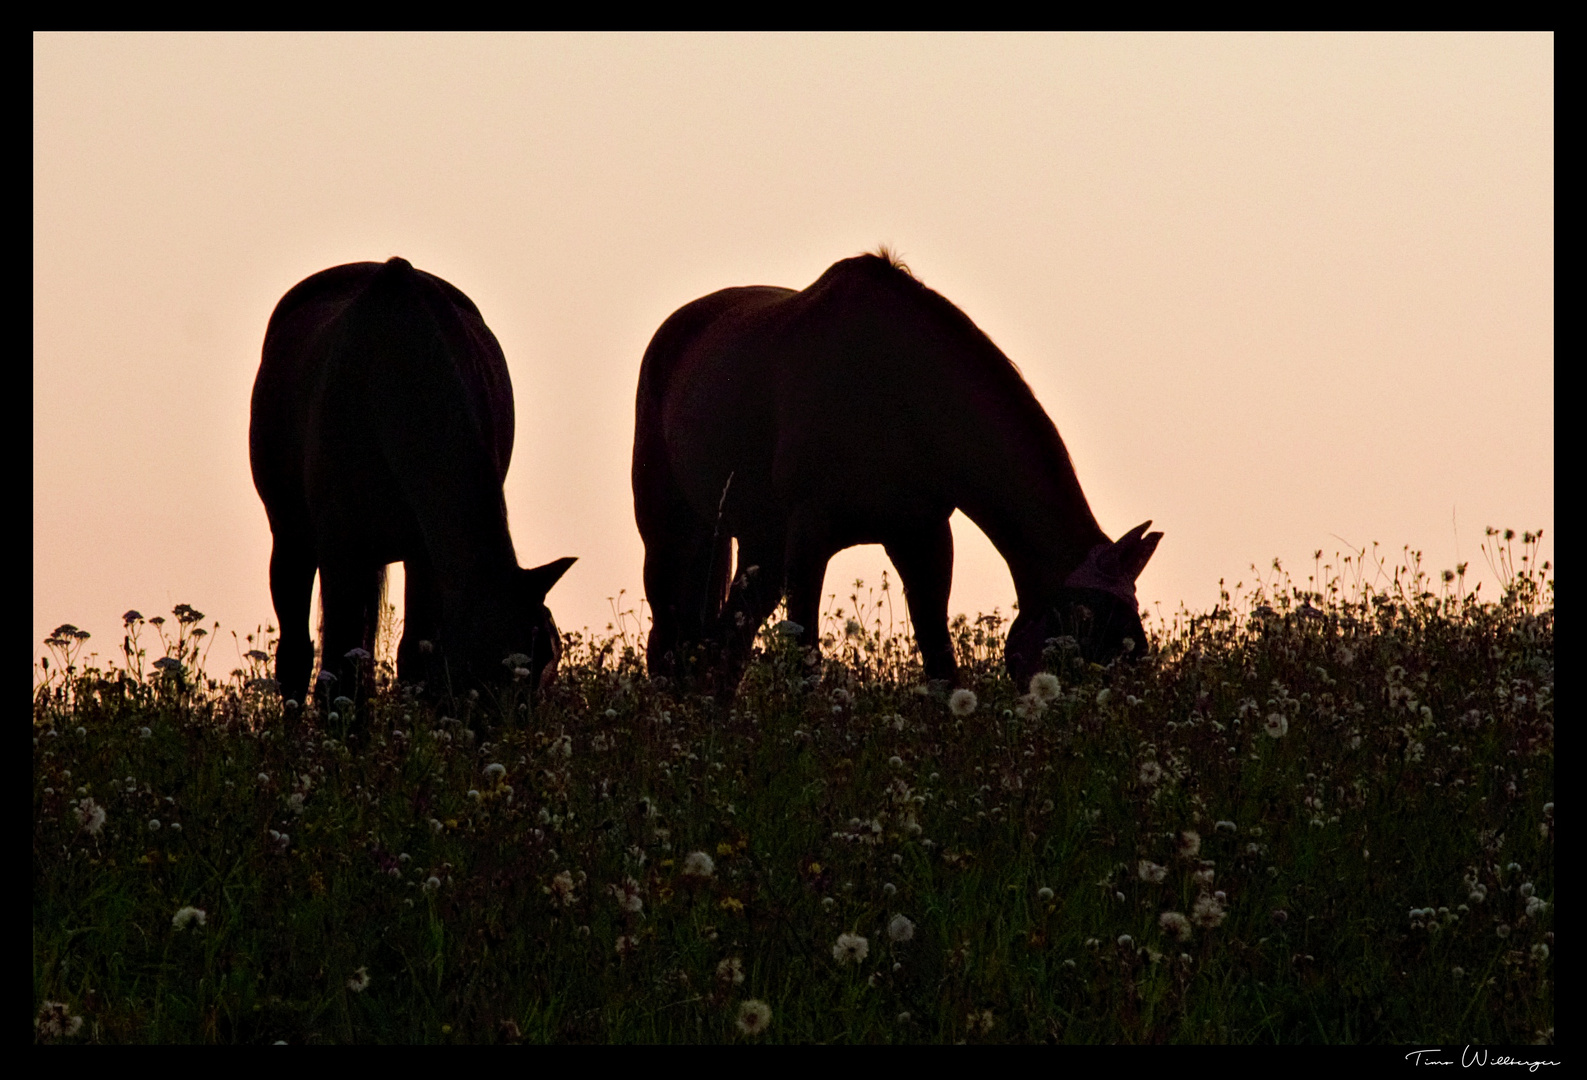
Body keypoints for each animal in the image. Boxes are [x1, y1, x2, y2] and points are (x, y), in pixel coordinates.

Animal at [244, 255, 574, 704]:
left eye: (544, 665)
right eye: (483, 668)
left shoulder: (423, 555)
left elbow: (411, 657)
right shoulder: (340, 548)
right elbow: (336, 661)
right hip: (291, 535)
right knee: (296, 653)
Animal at [631, 247, 1168, 691]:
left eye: (1135, 650)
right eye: (1086, 634)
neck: (892, 388)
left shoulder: (922, 537)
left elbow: (941, 669)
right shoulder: (808, 541)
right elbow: (808, 667)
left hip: (761, 547)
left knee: (724, 650)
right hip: (674, 535)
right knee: (671, 645)